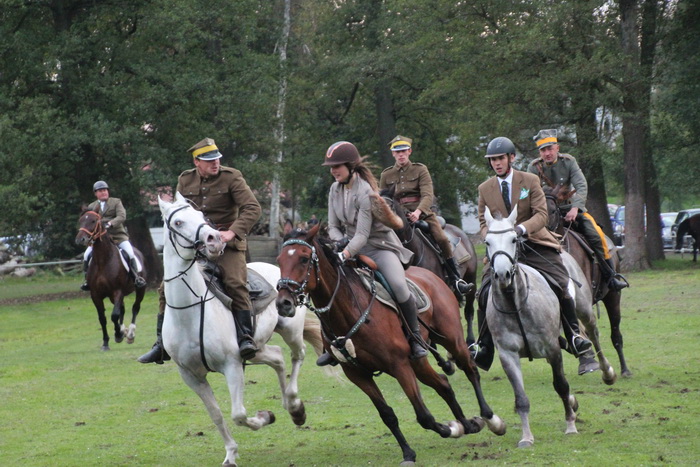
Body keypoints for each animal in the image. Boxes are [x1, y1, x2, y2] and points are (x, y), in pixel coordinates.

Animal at [75, 210, 146, 351]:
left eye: (93, 221)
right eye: (81, 220)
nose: (80, 239)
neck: (103, 260)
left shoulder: (117, 291)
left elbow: (114, 315)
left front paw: (118, 335)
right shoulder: (95, 294)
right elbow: (103, 318)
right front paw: (106, 342)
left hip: (140, 289)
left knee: (135, 307)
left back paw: (130, 334)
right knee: (122, 309)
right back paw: (123, 330)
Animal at [158, 192, 324, 467]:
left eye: (201, 216)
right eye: (179, 222)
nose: (214, 239)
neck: (190, 313)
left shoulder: (232, 366)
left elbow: (238, 414)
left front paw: (264, 418)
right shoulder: (192, 376)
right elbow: (216, 415)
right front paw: (230, 453)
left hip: (290, 331)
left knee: (296, 356)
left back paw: (295, 407)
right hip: (256, 349)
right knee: (278, 357)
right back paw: (290, 406)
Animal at [275, 224, 505, 465]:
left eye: (303, 259)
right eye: (280, 260)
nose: (283, 303)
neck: (348, 310)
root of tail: (431, 276)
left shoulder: (399, 365)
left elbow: (423, 415)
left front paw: (448, 429)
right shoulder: (357, 374)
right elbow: (387, 415)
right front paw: (411, 451)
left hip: (452, 341)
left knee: (470, 370)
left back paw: (491, 419)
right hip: (418, 362)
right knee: (443, 384)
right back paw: (468, 424)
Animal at [483, 205, 579, 447]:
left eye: (513, 239)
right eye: (487, 242)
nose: (502, 275)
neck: (515, 303)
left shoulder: (552, 349)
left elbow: (561, 385)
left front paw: (570, 426)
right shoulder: (508, 355)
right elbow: (521, 398)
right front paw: (526, 437)